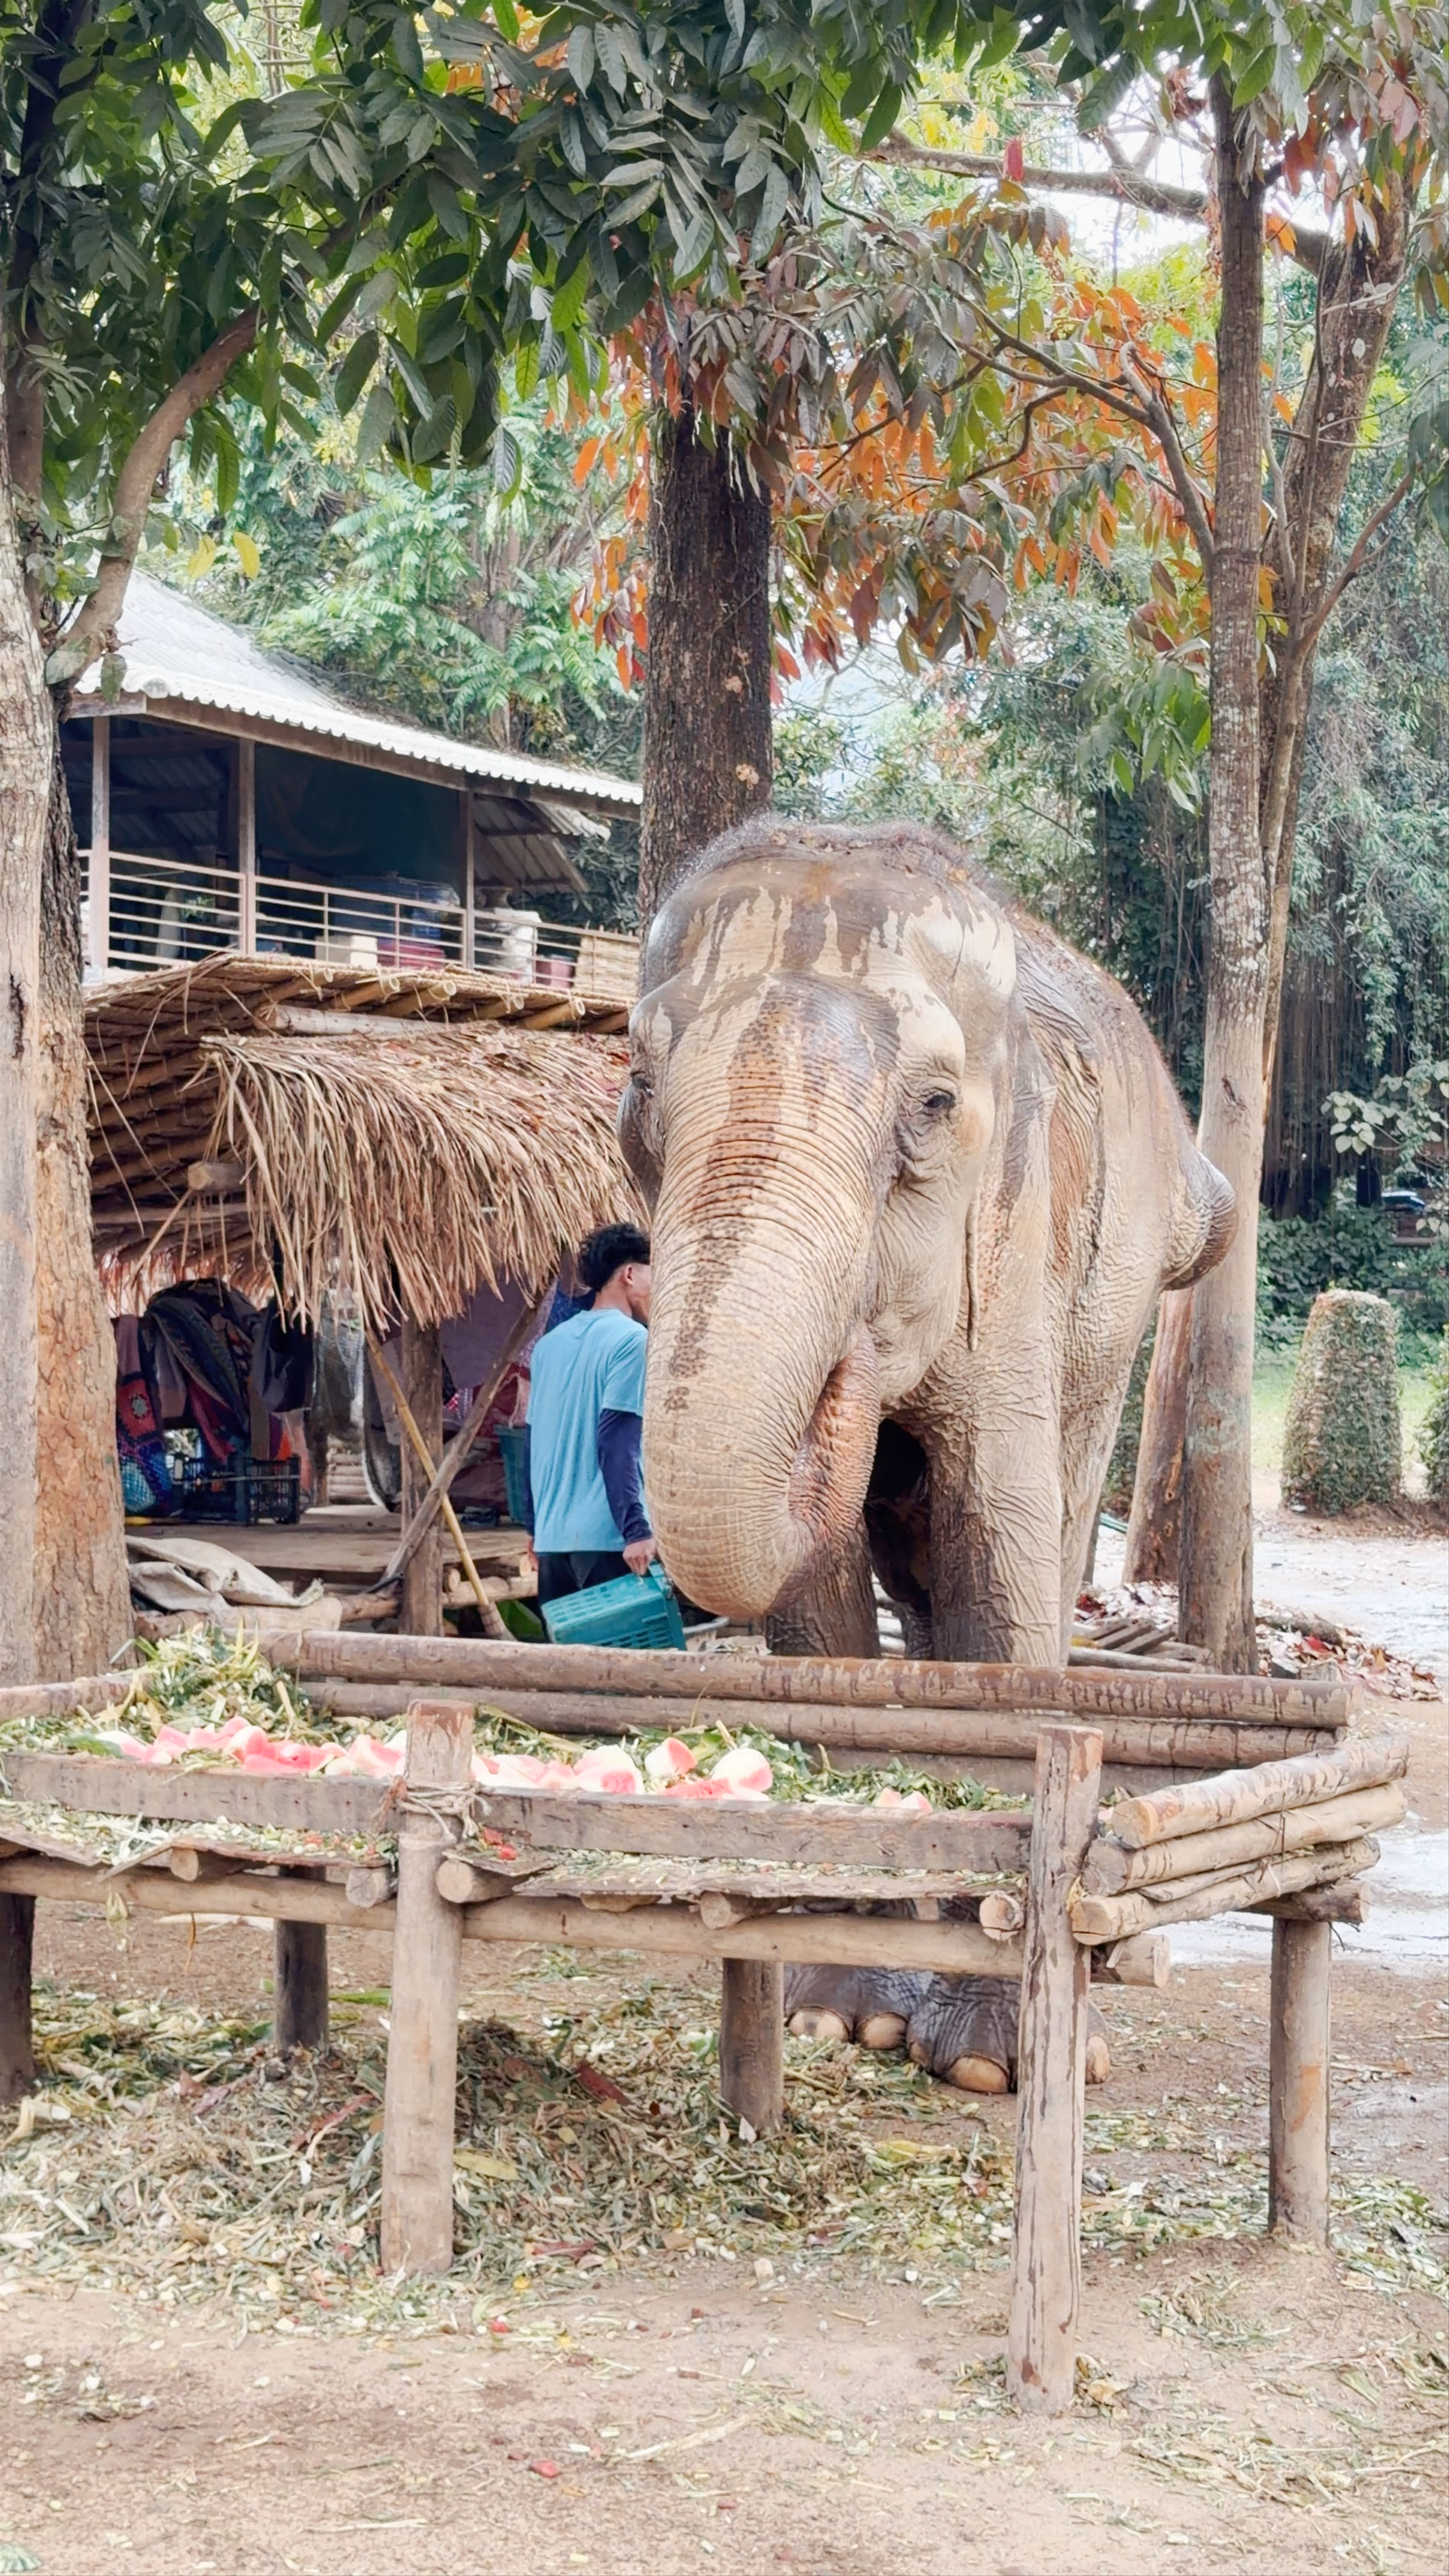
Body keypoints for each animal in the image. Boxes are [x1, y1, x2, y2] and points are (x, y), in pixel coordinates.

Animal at [621, 817, 1234, 2090]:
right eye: (640, 1084)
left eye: (936, 1106)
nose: (852, 1371)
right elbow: (819, 1598)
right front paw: (839, 2021)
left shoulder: (1017, 1254)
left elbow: (994, 1545)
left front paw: (994, 2061)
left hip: (1113, 1312)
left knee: (1047, 1527)